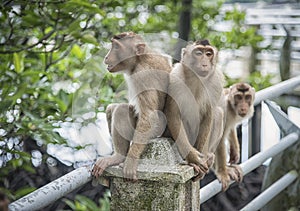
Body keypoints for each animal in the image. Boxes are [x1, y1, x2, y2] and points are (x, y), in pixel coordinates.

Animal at [91, 32, 172, 181]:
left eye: (116, 47)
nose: (106, 57)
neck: (140, 59)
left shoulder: (142, 76)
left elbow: (148, 115)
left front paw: (131, 160)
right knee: (117, 109)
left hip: (157, 131)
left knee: (121, 110)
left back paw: (119, 157)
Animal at [164, 40, 225, 180]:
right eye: (198, 53)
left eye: (208, 54)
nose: (205, 63)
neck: (197, 79)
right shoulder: (175, 79)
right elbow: (174, 114)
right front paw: (194, 158)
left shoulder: (216, 82)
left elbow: (209, 114)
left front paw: (203, 157)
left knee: (218, 113)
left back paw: (209, 156)